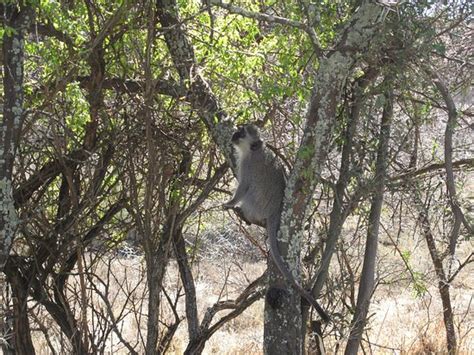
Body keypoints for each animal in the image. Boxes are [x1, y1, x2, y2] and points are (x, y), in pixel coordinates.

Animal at [223, 124, 330, 322]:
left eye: (242, 132)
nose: (234, 135)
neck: (253, 149)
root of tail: (274, 210)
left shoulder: (248, 165)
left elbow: (243, 187)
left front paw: (230, 203)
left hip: (255, 205)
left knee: (248, 193)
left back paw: (244, 214)